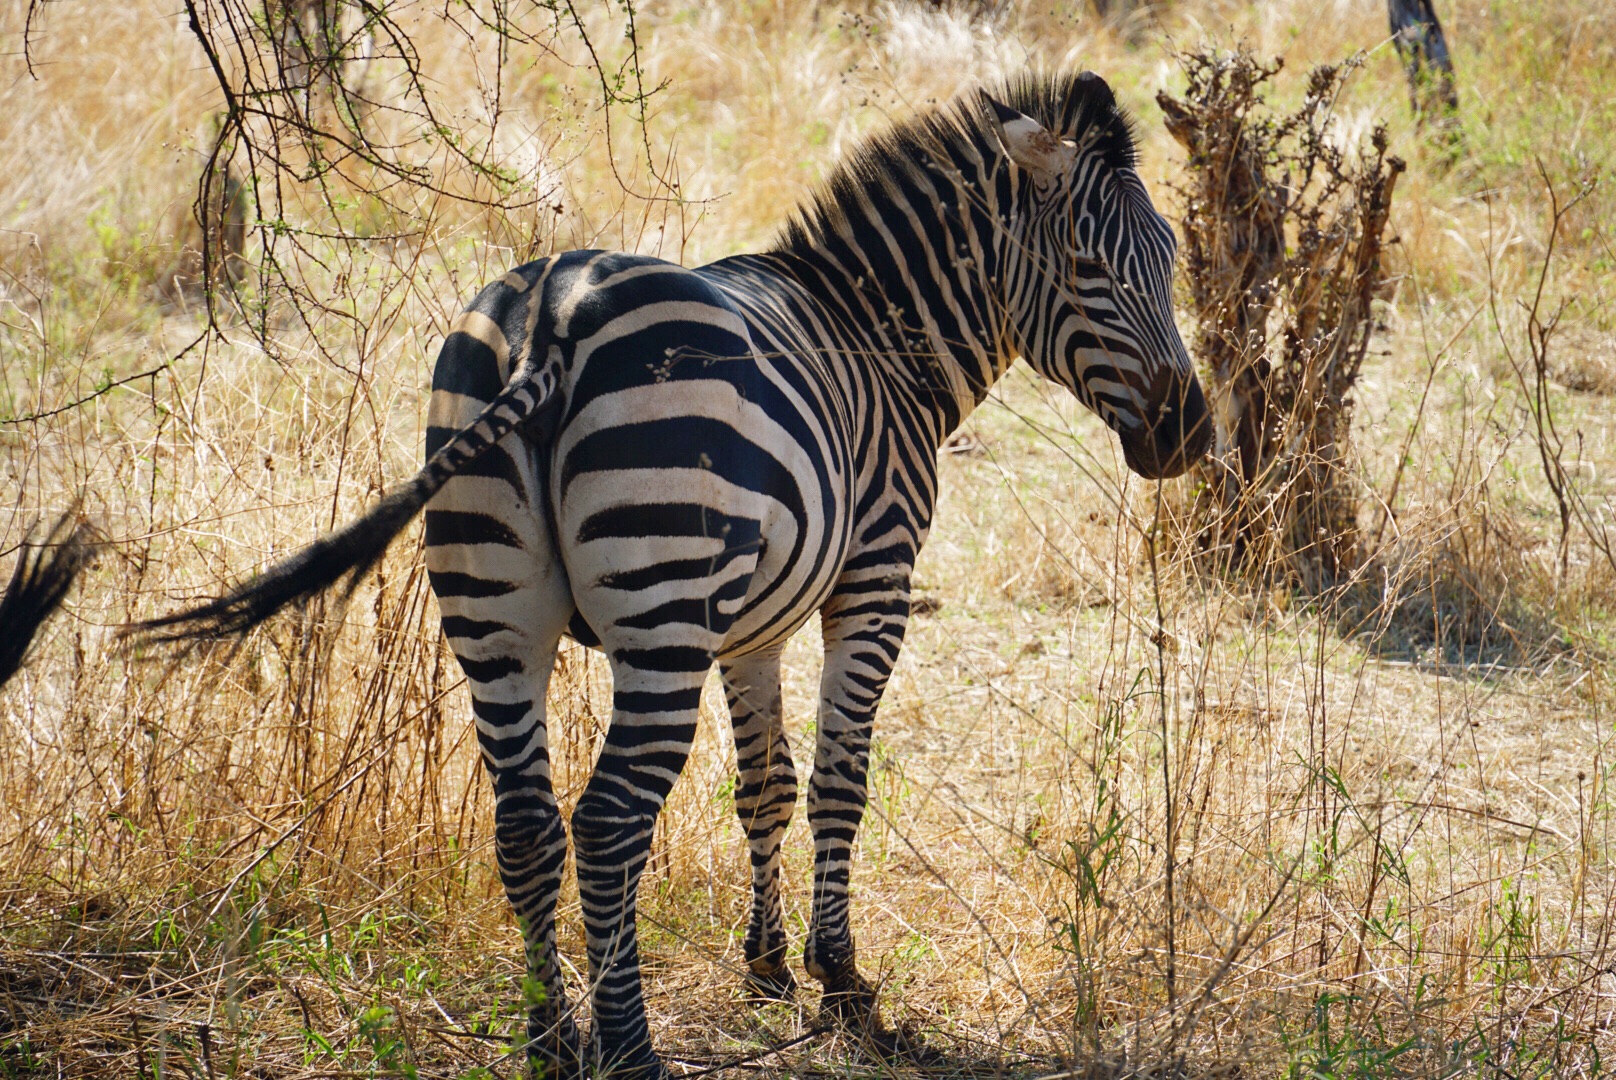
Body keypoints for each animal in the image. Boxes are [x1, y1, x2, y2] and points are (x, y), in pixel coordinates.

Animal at [132, 71, 1208, 1073]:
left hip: (495, 609)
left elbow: (765, 782)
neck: (874, 331)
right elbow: (838, 780)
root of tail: (550, 322)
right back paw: (630, 1048)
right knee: (608, 820)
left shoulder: (753, 622)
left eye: (1169, 263)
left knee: (526, 823)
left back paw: (553, 1040)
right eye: (1088, 269)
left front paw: (765, 967)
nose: (1188, 434)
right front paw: (841, 983)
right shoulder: (873, 579)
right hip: (659, 615)